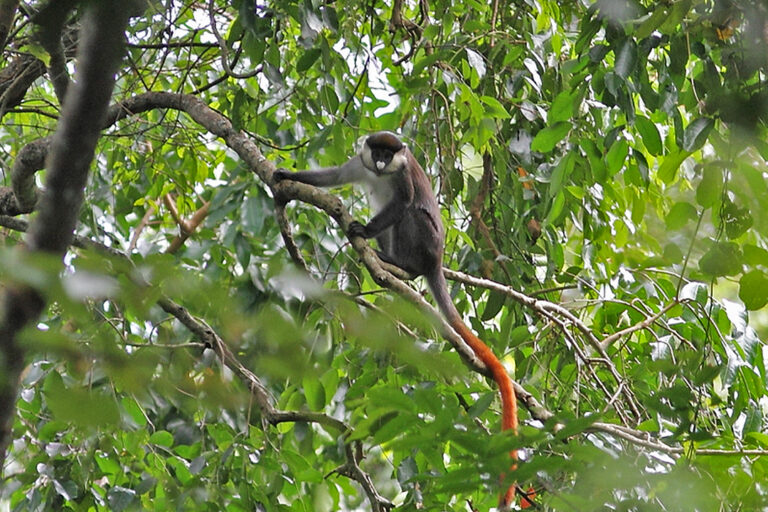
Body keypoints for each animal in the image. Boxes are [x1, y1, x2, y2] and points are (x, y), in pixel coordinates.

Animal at [274, 132, 520, 508]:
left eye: (388, 155)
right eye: (376, 151)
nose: (378, 162)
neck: (382, 173)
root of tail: (436, 262)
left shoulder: (403, 177)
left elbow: (402, 205)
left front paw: (362, 228)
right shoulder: (358, 163)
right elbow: (333, 177)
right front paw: (287, 174)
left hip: (426, 242)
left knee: (411, 215)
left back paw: (403, 266)